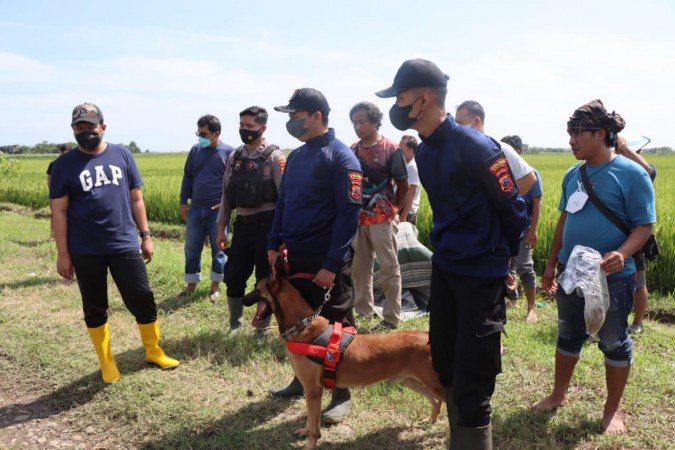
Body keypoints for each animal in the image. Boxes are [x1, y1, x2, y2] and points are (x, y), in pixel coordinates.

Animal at [242, 256, 444, 450]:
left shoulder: (312, 390)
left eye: (256, 289)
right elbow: (312, 419)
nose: (242, 299)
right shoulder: (312, 392)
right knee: (436, 402)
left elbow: (314, 426)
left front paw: (310, 445)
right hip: (410, 381)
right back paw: (430, 421)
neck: (303, 326)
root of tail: (427, 336)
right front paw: (305, 431)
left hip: (433, 384)